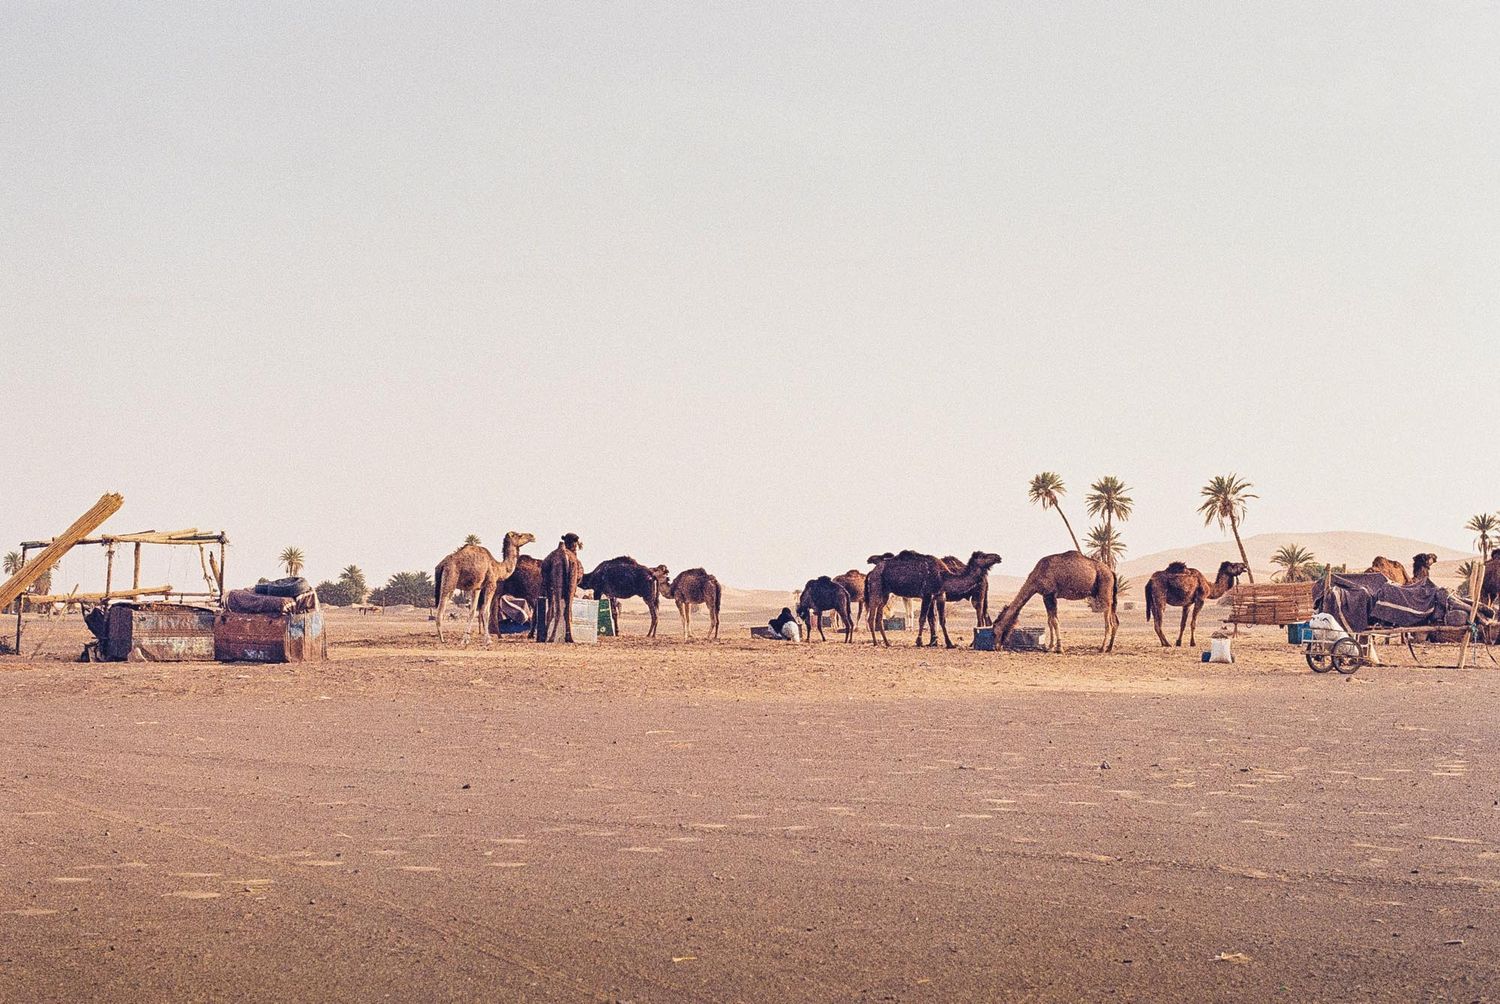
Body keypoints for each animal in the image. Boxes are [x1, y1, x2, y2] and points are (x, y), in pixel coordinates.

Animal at [865, 550, 1001, 648]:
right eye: (983, 555)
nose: (998, 557)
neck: (943, 576)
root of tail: (872, 572)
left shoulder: (939, 595)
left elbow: (941, 620)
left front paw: (948, 643)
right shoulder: (927, 594)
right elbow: (923, 618)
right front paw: (920, 642)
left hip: (885, 593)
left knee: (878, 616)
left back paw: (887, 643)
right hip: (877, 589)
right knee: (872, 616)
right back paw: (876, 642)